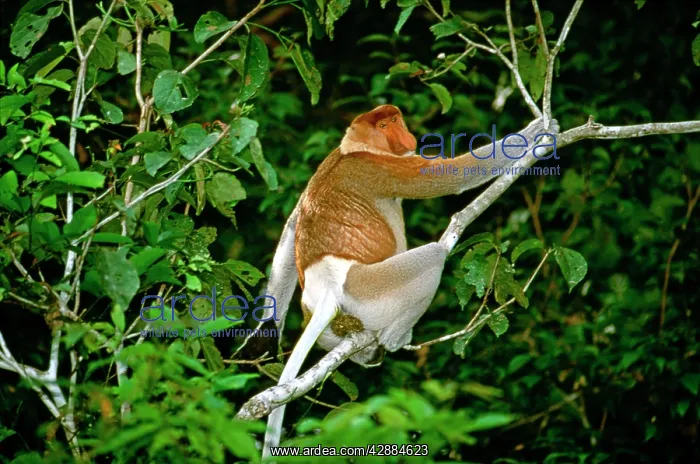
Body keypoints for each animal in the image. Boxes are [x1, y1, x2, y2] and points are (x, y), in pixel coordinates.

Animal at [262, 105, 557, 456]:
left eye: (395, 119)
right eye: (384, 124)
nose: (406, 136)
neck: (355, 148)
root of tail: (328, 291)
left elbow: (292, 223)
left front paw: (266, 331)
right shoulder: (385, 168)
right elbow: (448, 175)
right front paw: (536, 130)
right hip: (371, 286)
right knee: (433, 255)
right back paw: (395, 336)